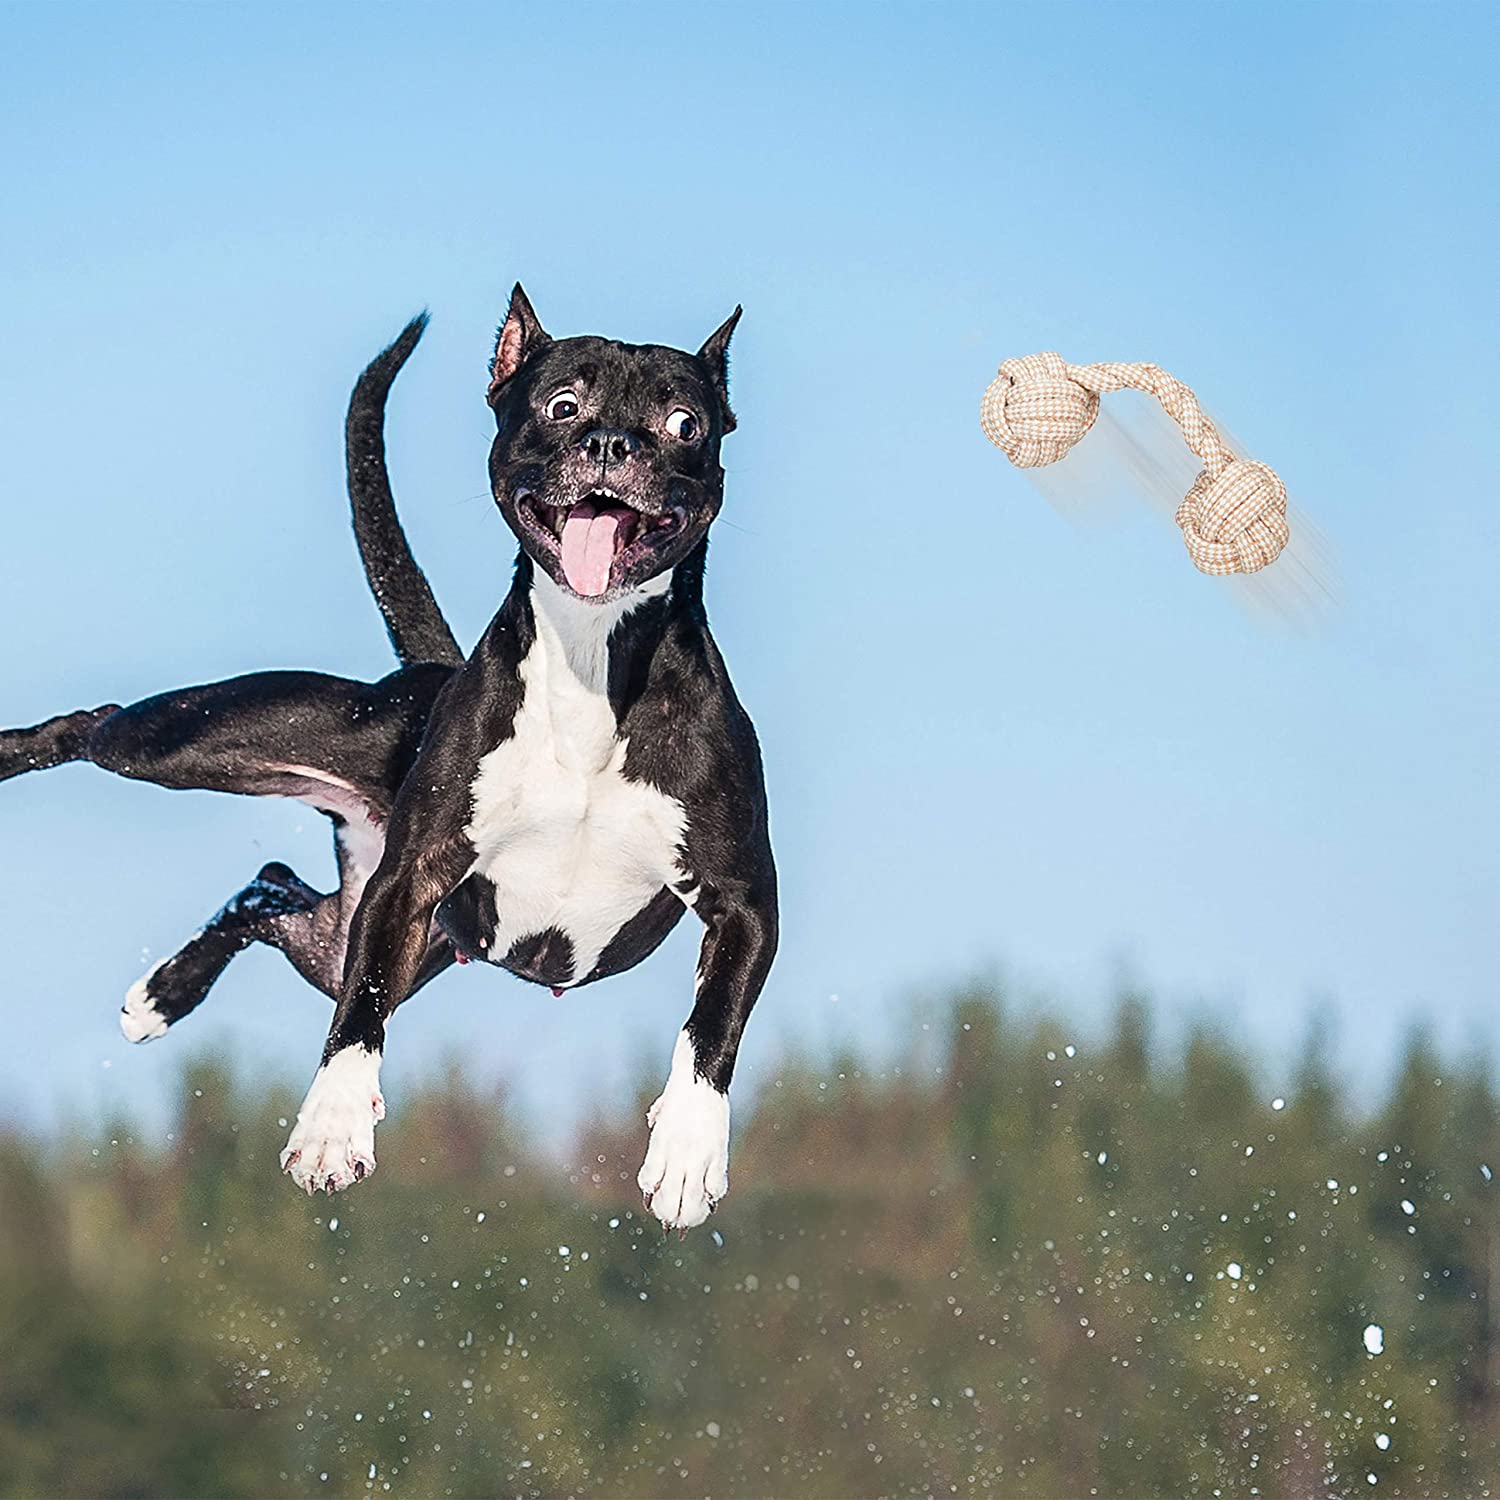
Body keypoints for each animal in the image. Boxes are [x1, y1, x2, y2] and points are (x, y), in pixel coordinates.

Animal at [0, 289, 774, 1230]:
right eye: (563, 406)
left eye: (684, 423)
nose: (611, 445)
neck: (593, 656)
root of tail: (429, 672)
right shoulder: (409, 882)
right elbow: (359, 1013)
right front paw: (333, 1128)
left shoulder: (744, 905)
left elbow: (713, 1020)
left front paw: (689, 1152)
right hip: (193, 744)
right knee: (99, 727)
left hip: (349, 930)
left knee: (272, 887)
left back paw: (162, 994)